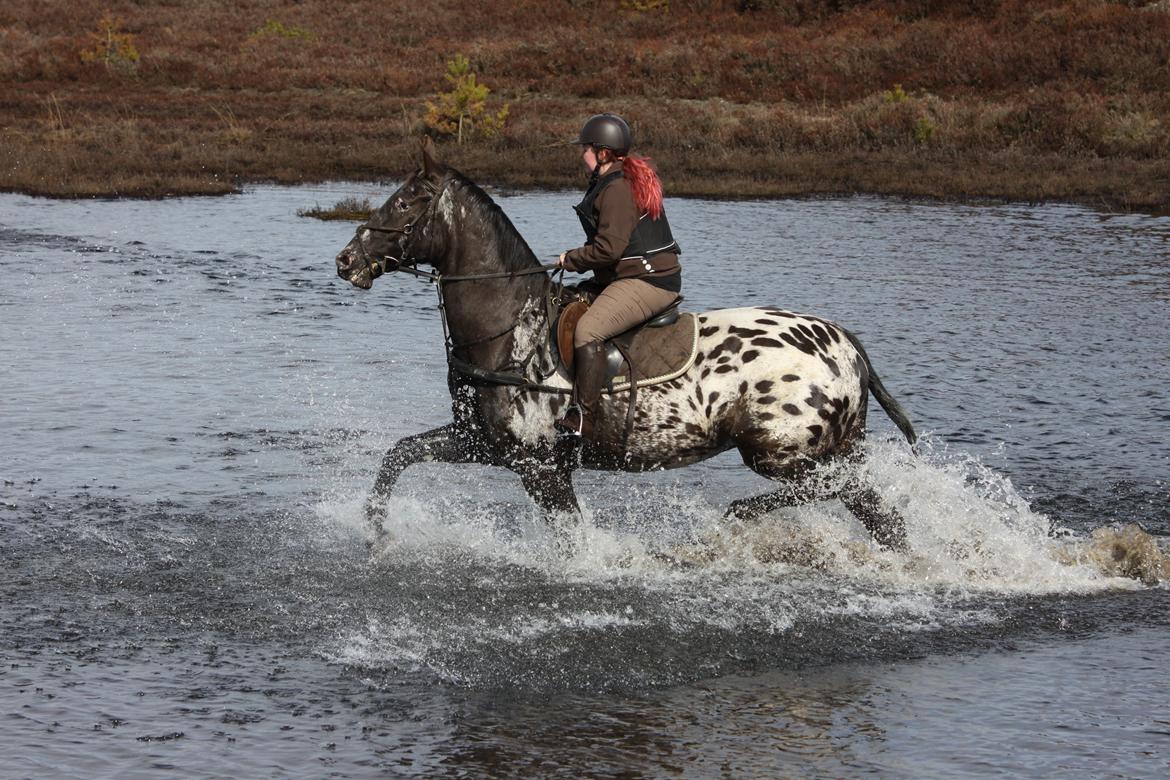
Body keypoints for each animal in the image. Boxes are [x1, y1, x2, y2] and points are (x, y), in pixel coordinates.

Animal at [334, 142, 917, 554]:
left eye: (405, 202)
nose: (346, 261)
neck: (509, 329)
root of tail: (846, 346)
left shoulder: (540, 468)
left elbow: (572, 539)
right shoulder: (481, 443)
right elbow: (397, 456)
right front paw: (376, 531)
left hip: (781, 454)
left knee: (825, 492)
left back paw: (734, 517)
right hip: (823, 452)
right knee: (877, 511)